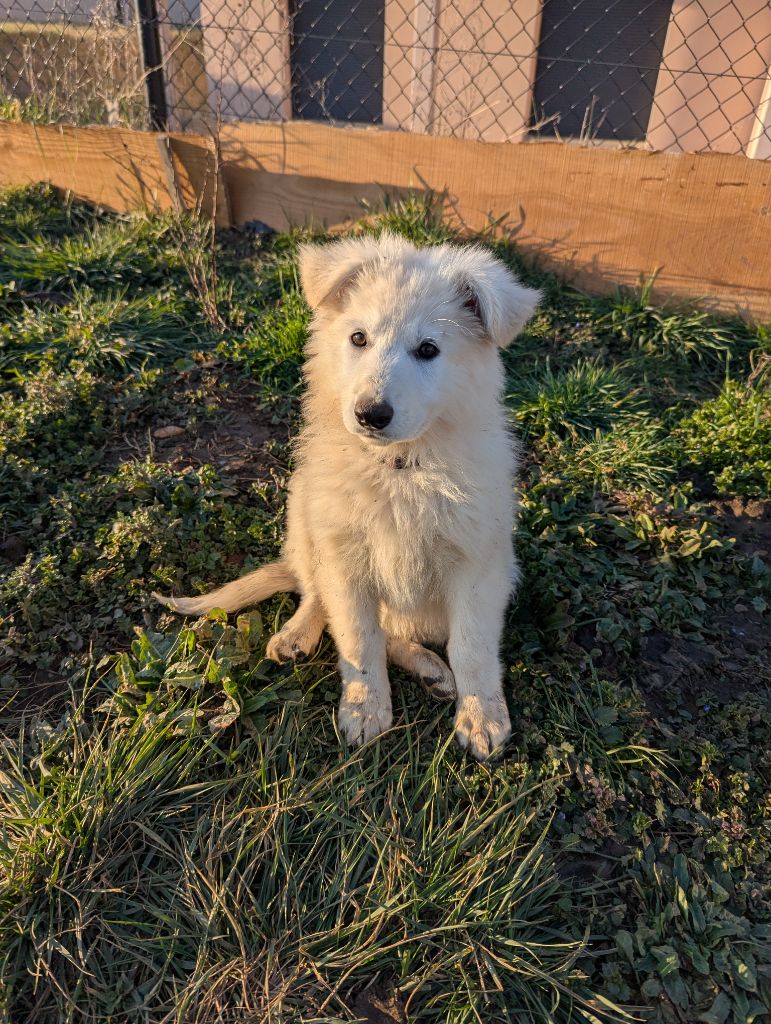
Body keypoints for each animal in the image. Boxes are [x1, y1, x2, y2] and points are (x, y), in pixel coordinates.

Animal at [154, 232, 540, 761]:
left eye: (428, 349)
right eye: (359, 338)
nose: (369, 414)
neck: (398, 467)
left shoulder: (478, 563)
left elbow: (472, 647)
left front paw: (481, 715)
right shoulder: (345, 554)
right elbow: (357, 638)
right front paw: (364, 708)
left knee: (396, 632)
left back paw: (432, 671)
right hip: (303, 515)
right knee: (318, 593)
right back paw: (298, 633)